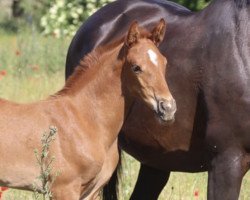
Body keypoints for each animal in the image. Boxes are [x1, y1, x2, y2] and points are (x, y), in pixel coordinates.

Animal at [0, 19, 176, 199]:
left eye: (164, 63)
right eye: (136, 67)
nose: (168, 107)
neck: (85, 120)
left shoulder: (92, 190)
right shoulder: (63, 189)